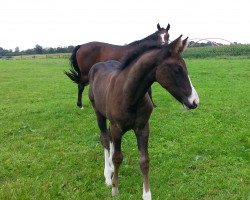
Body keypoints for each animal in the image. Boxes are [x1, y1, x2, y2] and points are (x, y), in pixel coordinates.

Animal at [88, 35, 199, 199]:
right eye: (177, 69)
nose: (194, 101)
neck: (130, 96)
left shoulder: (143, 128)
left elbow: (144, 161)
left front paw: (147, 194)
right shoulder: (117, 127)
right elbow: (118, 157)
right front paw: (115, 188)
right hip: (99, 113)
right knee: (105, 139)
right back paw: (108, 175)